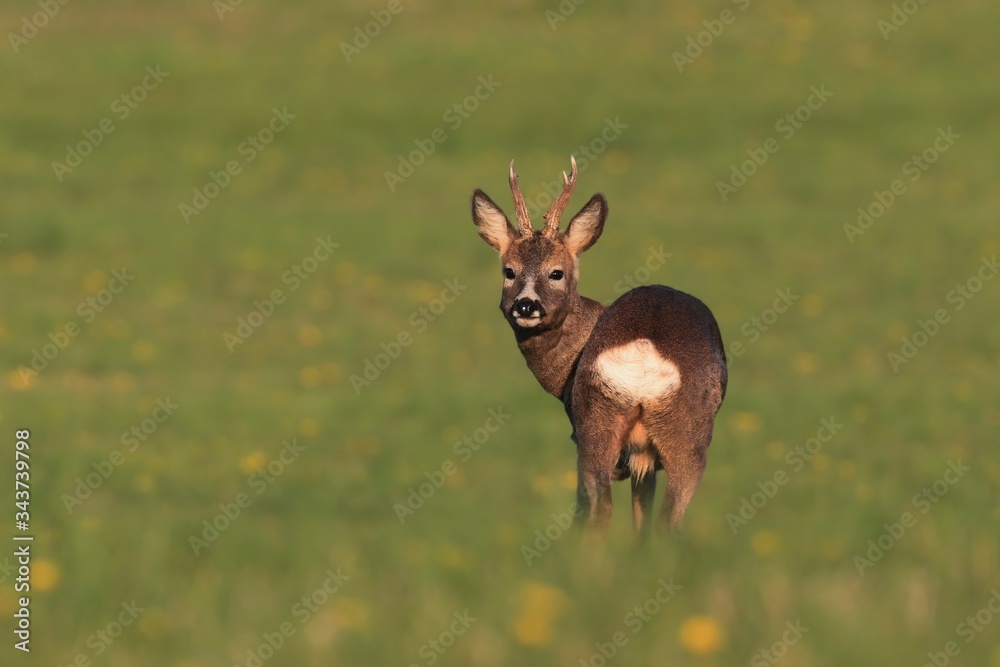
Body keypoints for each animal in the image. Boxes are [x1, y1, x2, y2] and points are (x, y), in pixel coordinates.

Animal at [470, 157, 728, 538]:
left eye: (557, 272)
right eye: (509, 271)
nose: (526, 305)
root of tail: (643, 349)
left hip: (600, 425)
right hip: (664, 429)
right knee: (647, 515)